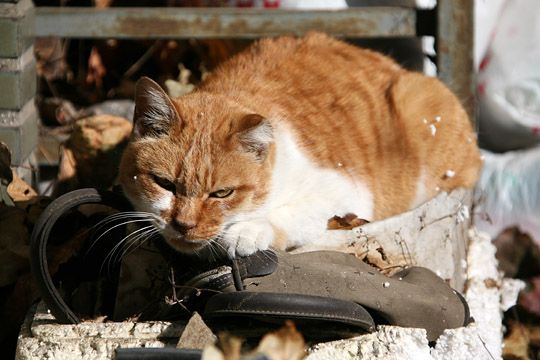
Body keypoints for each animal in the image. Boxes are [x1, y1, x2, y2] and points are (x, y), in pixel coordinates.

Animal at [120, 33, 484, 258]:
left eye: (222, 193)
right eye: (164, 184)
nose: (184, 225)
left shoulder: (348, 194)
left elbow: (287, 215)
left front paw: (248, 231)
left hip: (418, 101)